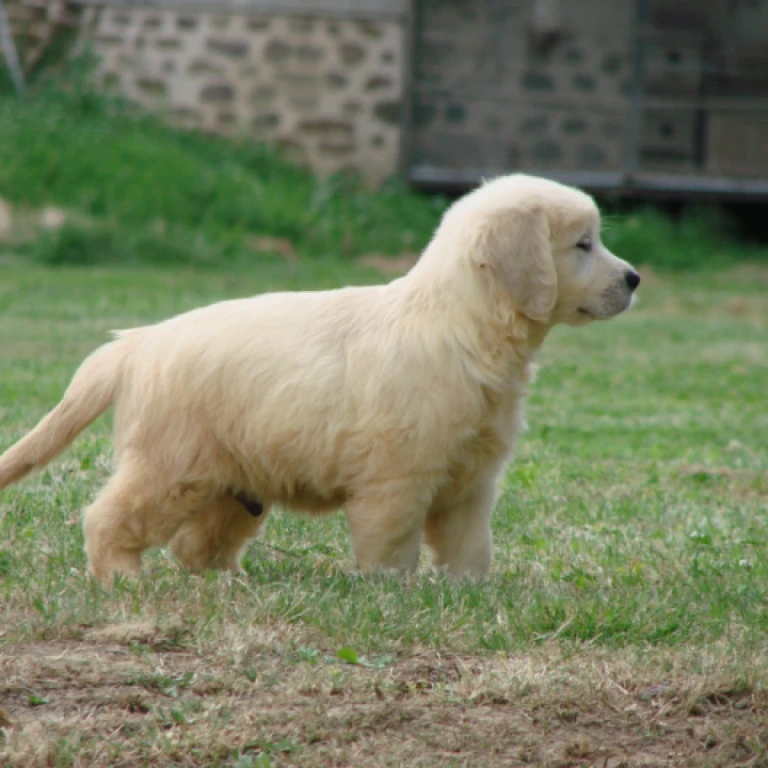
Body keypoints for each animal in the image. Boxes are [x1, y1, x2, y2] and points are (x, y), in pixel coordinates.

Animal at [0, 174, 640, 584]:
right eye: (583, 244)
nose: (635, 279)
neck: (458, 324)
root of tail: (136, 343)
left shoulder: (473, 478)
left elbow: (469, 544)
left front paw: (470, 590)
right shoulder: (398, 477)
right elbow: (392, 543)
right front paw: (390, 591)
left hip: (231, 482)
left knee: (195, 545)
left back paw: (230, 582)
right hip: (170, 467)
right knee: (109, 518)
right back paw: (122, 578)